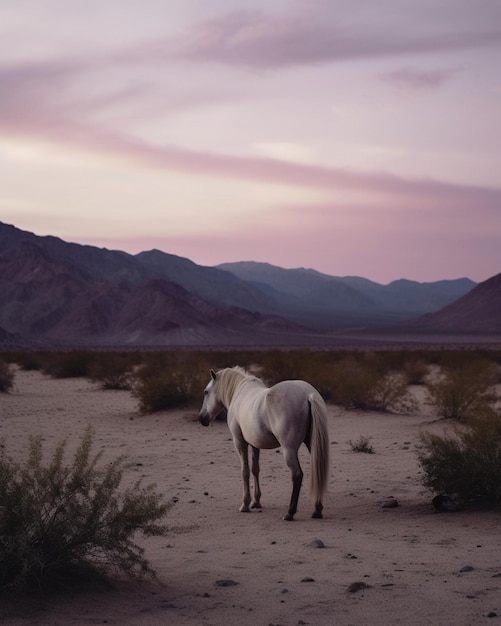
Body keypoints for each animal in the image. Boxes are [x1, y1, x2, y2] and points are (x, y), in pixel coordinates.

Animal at [197, 364, 330, 520]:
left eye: (206, 392)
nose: (202, 418)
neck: (239, 392)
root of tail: (308, 394)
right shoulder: (255, 444)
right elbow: (255, 469)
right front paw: (256, 502)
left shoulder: (239, 442)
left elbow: (245, 471)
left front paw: (245, 504)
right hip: (312, 445)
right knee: (318, 470)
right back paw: (317, 510)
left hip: (289, 450)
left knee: (297, 475)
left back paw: (290, 513)